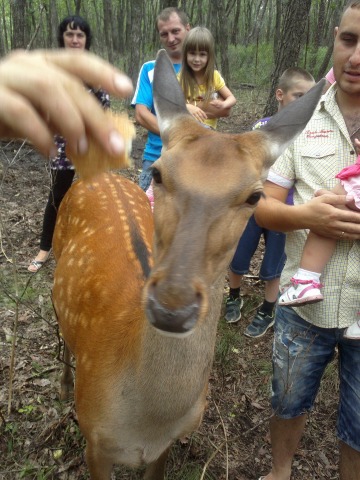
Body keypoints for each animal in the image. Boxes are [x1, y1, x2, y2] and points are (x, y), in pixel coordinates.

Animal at [52, 50, 324, 478]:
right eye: (159, 172)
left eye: (255, 196)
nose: (172, 306)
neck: (145, 423)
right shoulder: (94, 442)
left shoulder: (161, 449)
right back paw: (64, 384)